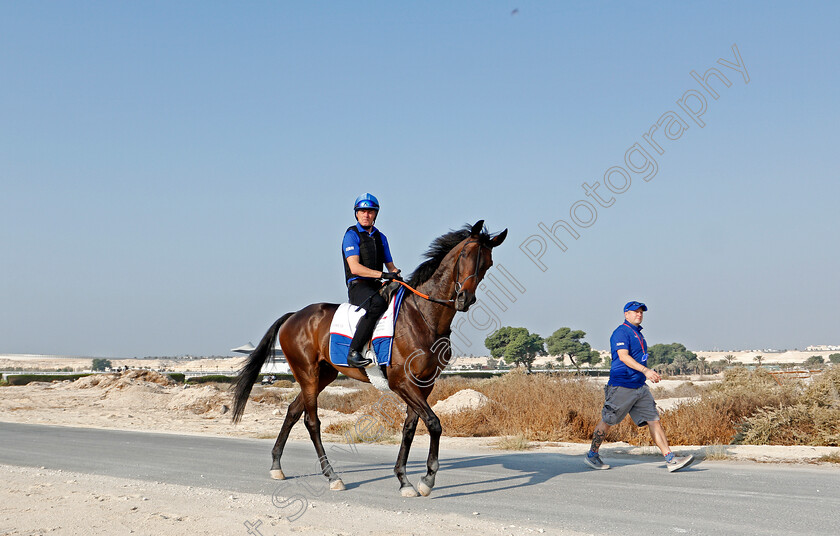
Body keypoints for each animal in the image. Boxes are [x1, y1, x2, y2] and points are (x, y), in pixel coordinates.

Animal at [230, 220, 506, 496]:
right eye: (465, 254)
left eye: (487, 263)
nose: (464, 299)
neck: (423, 317)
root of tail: (294, 315)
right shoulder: (402, 382)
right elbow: (433, 423)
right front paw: (427, 480)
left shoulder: (424, 384)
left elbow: (410, 427)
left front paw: (405, 479)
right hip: (307, 373)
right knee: (311, 421)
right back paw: (332, 476)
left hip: (324, 375)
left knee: (293, 411)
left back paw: (276, 465)